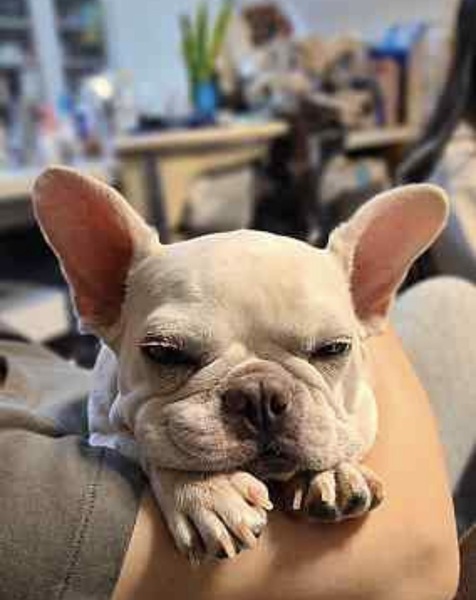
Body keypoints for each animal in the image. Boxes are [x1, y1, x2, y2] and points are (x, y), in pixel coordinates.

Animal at [32, 166, 448, 562]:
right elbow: (147, 445)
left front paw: (333, 472)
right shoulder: (105, 433)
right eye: (164, 352)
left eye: (333, 348)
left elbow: (337, 435)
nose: (259, 394)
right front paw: (205, 491)